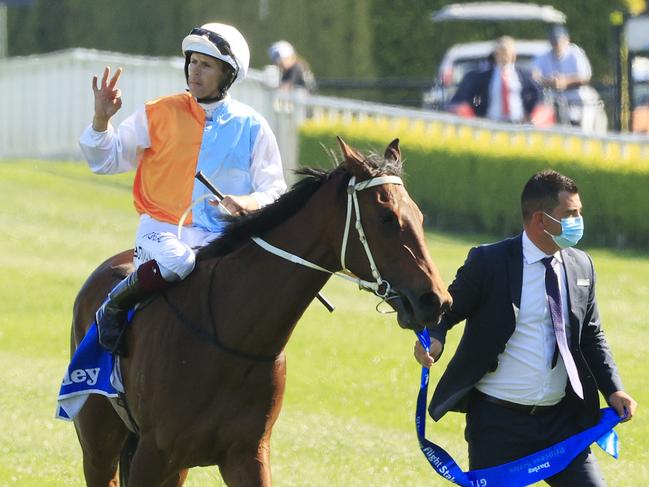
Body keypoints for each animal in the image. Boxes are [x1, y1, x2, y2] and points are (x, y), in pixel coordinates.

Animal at [69, 138, 450, 487]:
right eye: (387, 217)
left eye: (419, 216)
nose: (436, 299)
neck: (230, 336)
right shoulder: (156, 452)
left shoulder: (246, 454)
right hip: (98, 439)